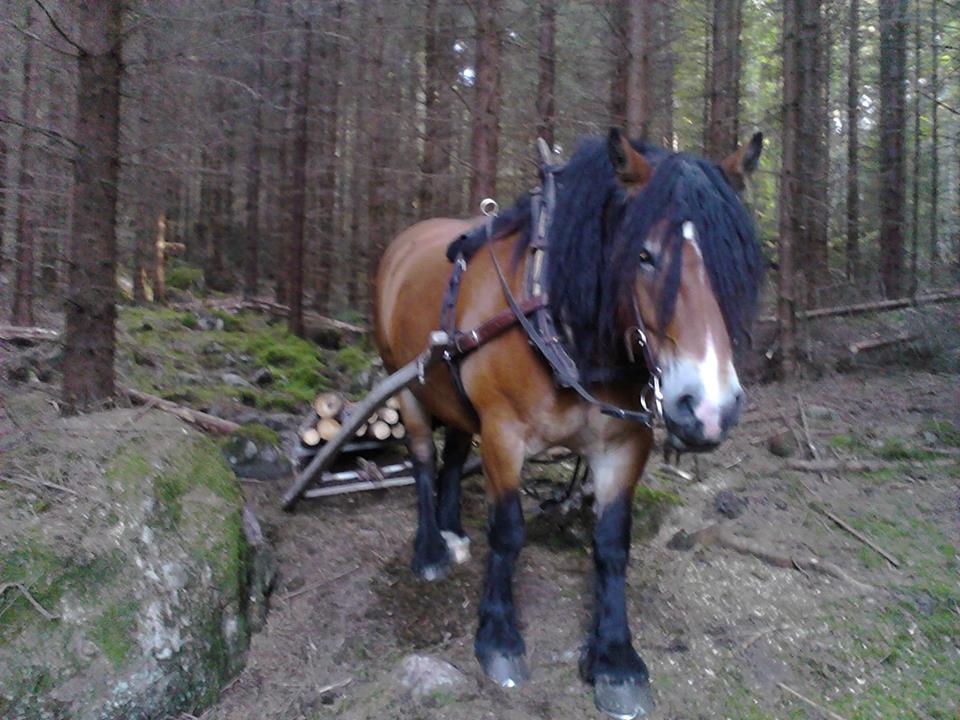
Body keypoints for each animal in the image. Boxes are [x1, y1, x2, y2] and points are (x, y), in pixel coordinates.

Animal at [373, 128, 764, 718]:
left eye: (736, 262)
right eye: (644, 255)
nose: (709, 408)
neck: (561, 326)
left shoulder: (624, 444)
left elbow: (612, 543)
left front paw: (615, 658)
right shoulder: (504, 433)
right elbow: (508, 530)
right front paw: (499, 637)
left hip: (453, 392)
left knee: (456, 449)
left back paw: (452, 528)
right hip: (408, 386)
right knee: (422, 459)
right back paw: (431, 550)